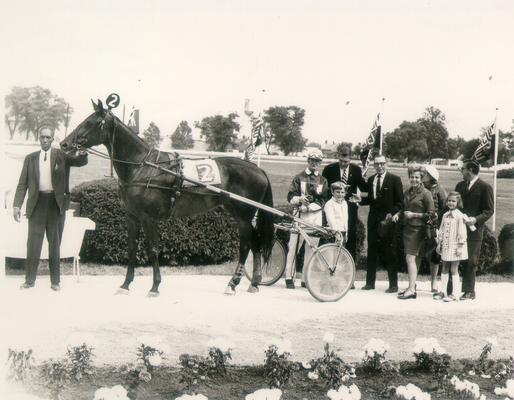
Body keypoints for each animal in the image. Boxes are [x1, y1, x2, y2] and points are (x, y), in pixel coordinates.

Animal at [59, 98, 272, 296]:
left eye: (92, 122)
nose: (64, 143)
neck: (143, 167)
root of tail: (258, 169)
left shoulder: (149, 218)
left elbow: (153, 249)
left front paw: (155, 287)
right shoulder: (132, 216)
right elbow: (131, 248)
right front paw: (125, 285)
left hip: (243, 215)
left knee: (247, 245)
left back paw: (233, 283)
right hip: (236, 212)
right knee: (255, 244)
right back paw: (253, 283)